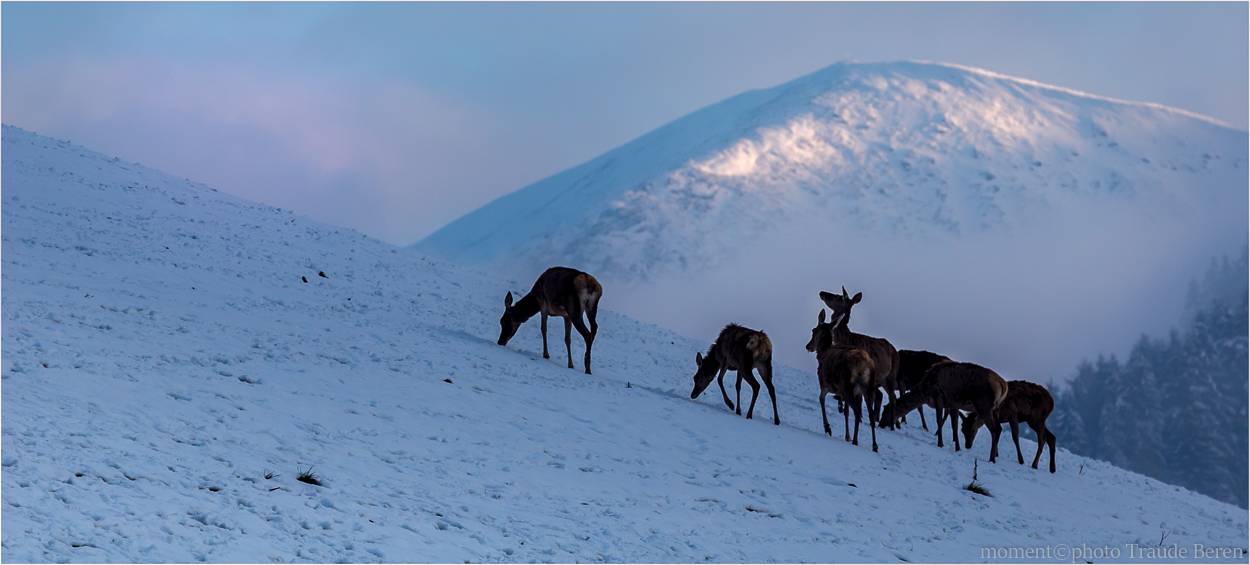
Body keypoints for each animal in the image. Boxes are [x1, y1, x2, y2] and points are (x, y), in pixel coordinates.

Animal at [810, 308, 880, 450]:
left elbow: (821, 399)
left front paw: (828, 428)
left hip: (846, 384)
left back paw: (855, 440)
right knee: (870, 415)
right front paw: (846, 436)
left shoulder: (824, 383)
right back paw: (874, 445)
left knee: (858, 411)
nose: (808, 346)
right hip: (868, 387)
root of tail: (863, 363)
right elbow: (846, 412)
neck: (822, 354)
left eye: (813, 330)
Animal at [820, 288, 900, 430]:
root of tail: (896, 351)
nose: (822, 293)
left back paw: (890, 426)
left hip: (891, 375)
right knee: (882, 396)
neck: (847, 339)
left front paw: (860, 418)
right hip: (880, 379)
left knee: (892, 397)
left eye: (838, 297)